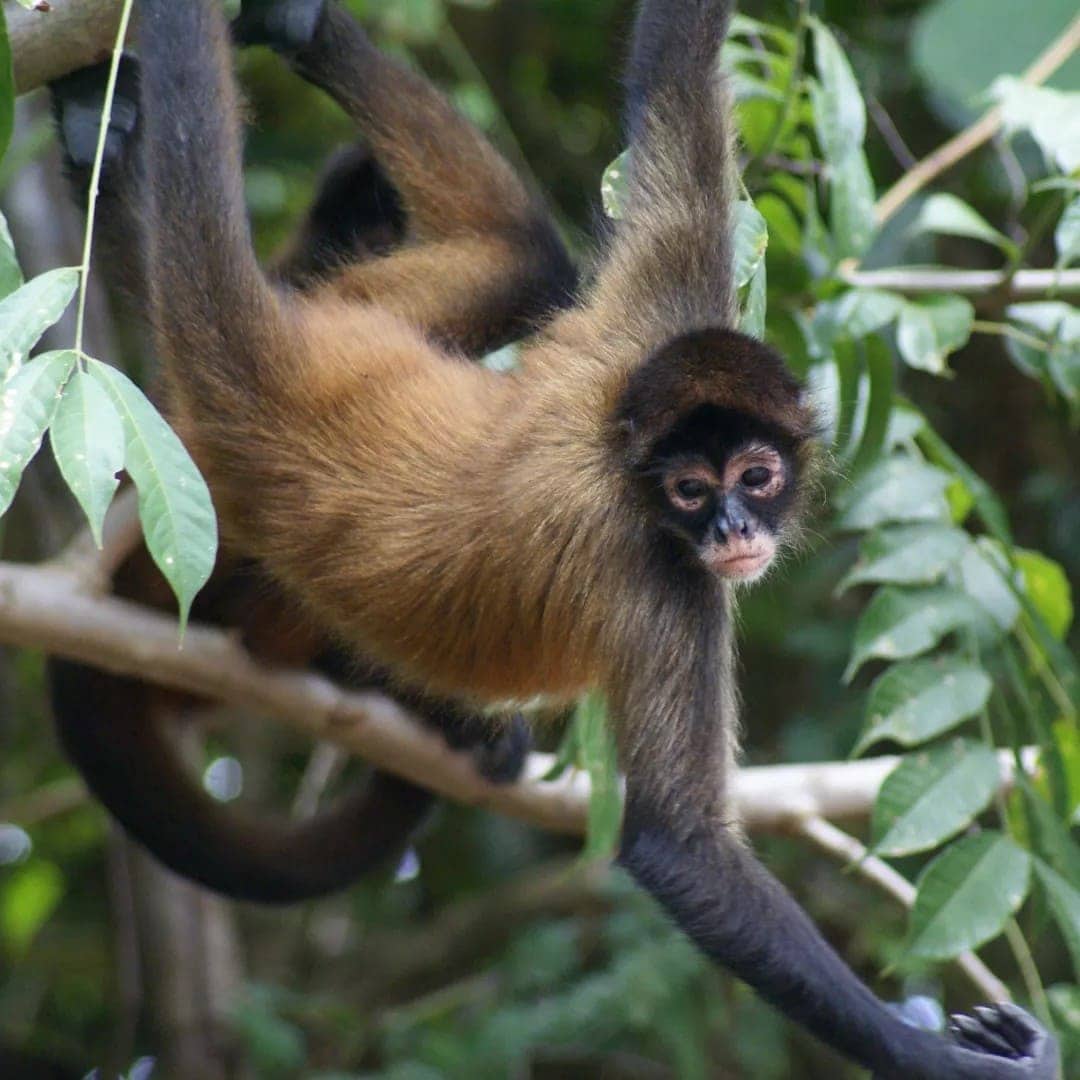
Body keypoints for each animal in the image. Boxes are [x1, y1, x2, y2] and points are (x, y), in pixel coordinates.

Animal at [45, 0, 1060, 1075]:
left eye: (757, 475)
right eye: (693, 491)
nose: (735, 525)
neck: (625, 465)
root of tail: (265, 396)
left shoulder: (656, 318)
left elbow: (670, 82)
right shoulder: (663, 583)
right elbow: (679, 851)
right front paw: (955, 1061)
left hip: (356, 334)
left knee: (524, 254)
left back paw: (194, 94)